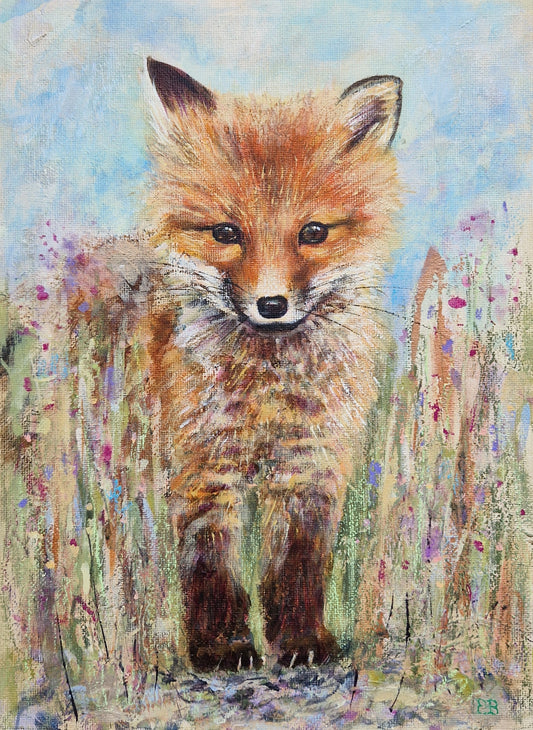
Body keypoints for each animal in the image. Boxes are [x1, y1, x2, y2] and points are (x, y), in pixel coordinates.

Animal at [69, 59, 402, 672]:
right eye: (226, 233)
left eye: (313, 232)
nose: (272, 305)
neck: (266, 390)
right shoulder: (201, 473)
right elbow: (211, 569)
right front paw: (222, 646)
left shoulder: (309, 470)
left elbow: (297, 567)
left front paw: (300, 640)